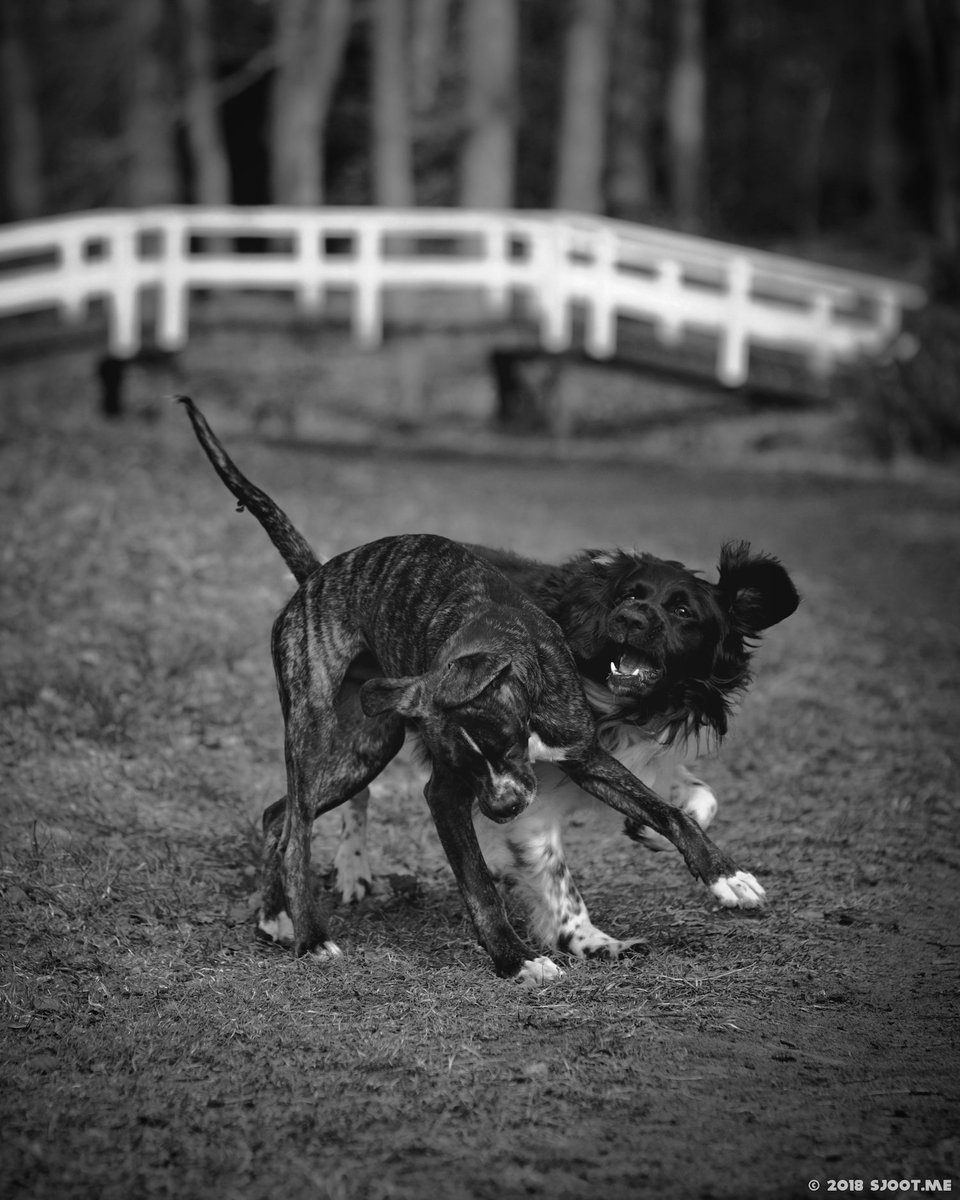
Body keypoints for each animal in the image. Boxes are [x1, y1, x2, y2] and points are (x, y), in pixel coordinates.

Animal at [177, 398, 763, 979]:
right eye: (465, 763)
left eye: (508, 744)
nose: (504, 808)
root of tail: (319, 573)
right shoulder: (446, 795)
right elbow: (480, 884)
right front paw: (517, 958)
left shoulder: (584, 754)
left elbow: (666, 811)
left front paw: (726, 877)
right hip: (318, 734)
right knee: (296, 828)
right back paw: (308, 934)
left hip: (365, 747)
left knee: (279, 815)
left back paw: (275, 917)